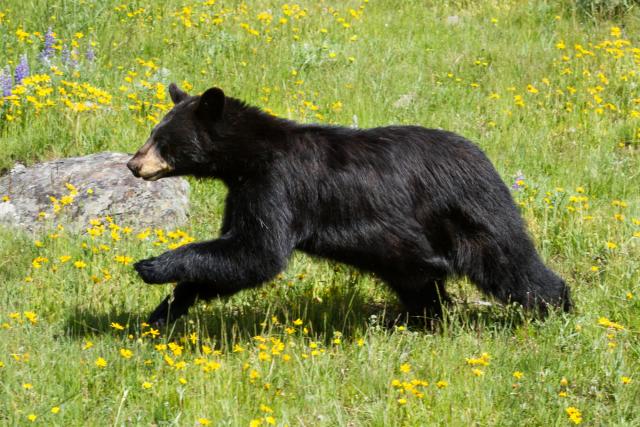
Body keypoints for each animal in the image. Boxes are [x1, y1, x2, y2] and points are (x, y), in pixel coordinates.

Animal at [125, 83, 568, 324]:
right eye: (154, 132)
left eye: (162, 139)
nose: (133, 164)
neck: (250, 157)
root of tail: (485, 159)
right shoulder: (243, 192)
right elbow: (231, 256)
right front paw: (163, 313)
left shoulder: (278, 185)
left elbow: (257, 252)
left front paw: (152, 265)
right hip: (408, 251)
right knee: (420, 283)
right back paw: (423, 320)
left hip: (470, 213)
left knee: (511, 261)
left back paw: (556, 307)